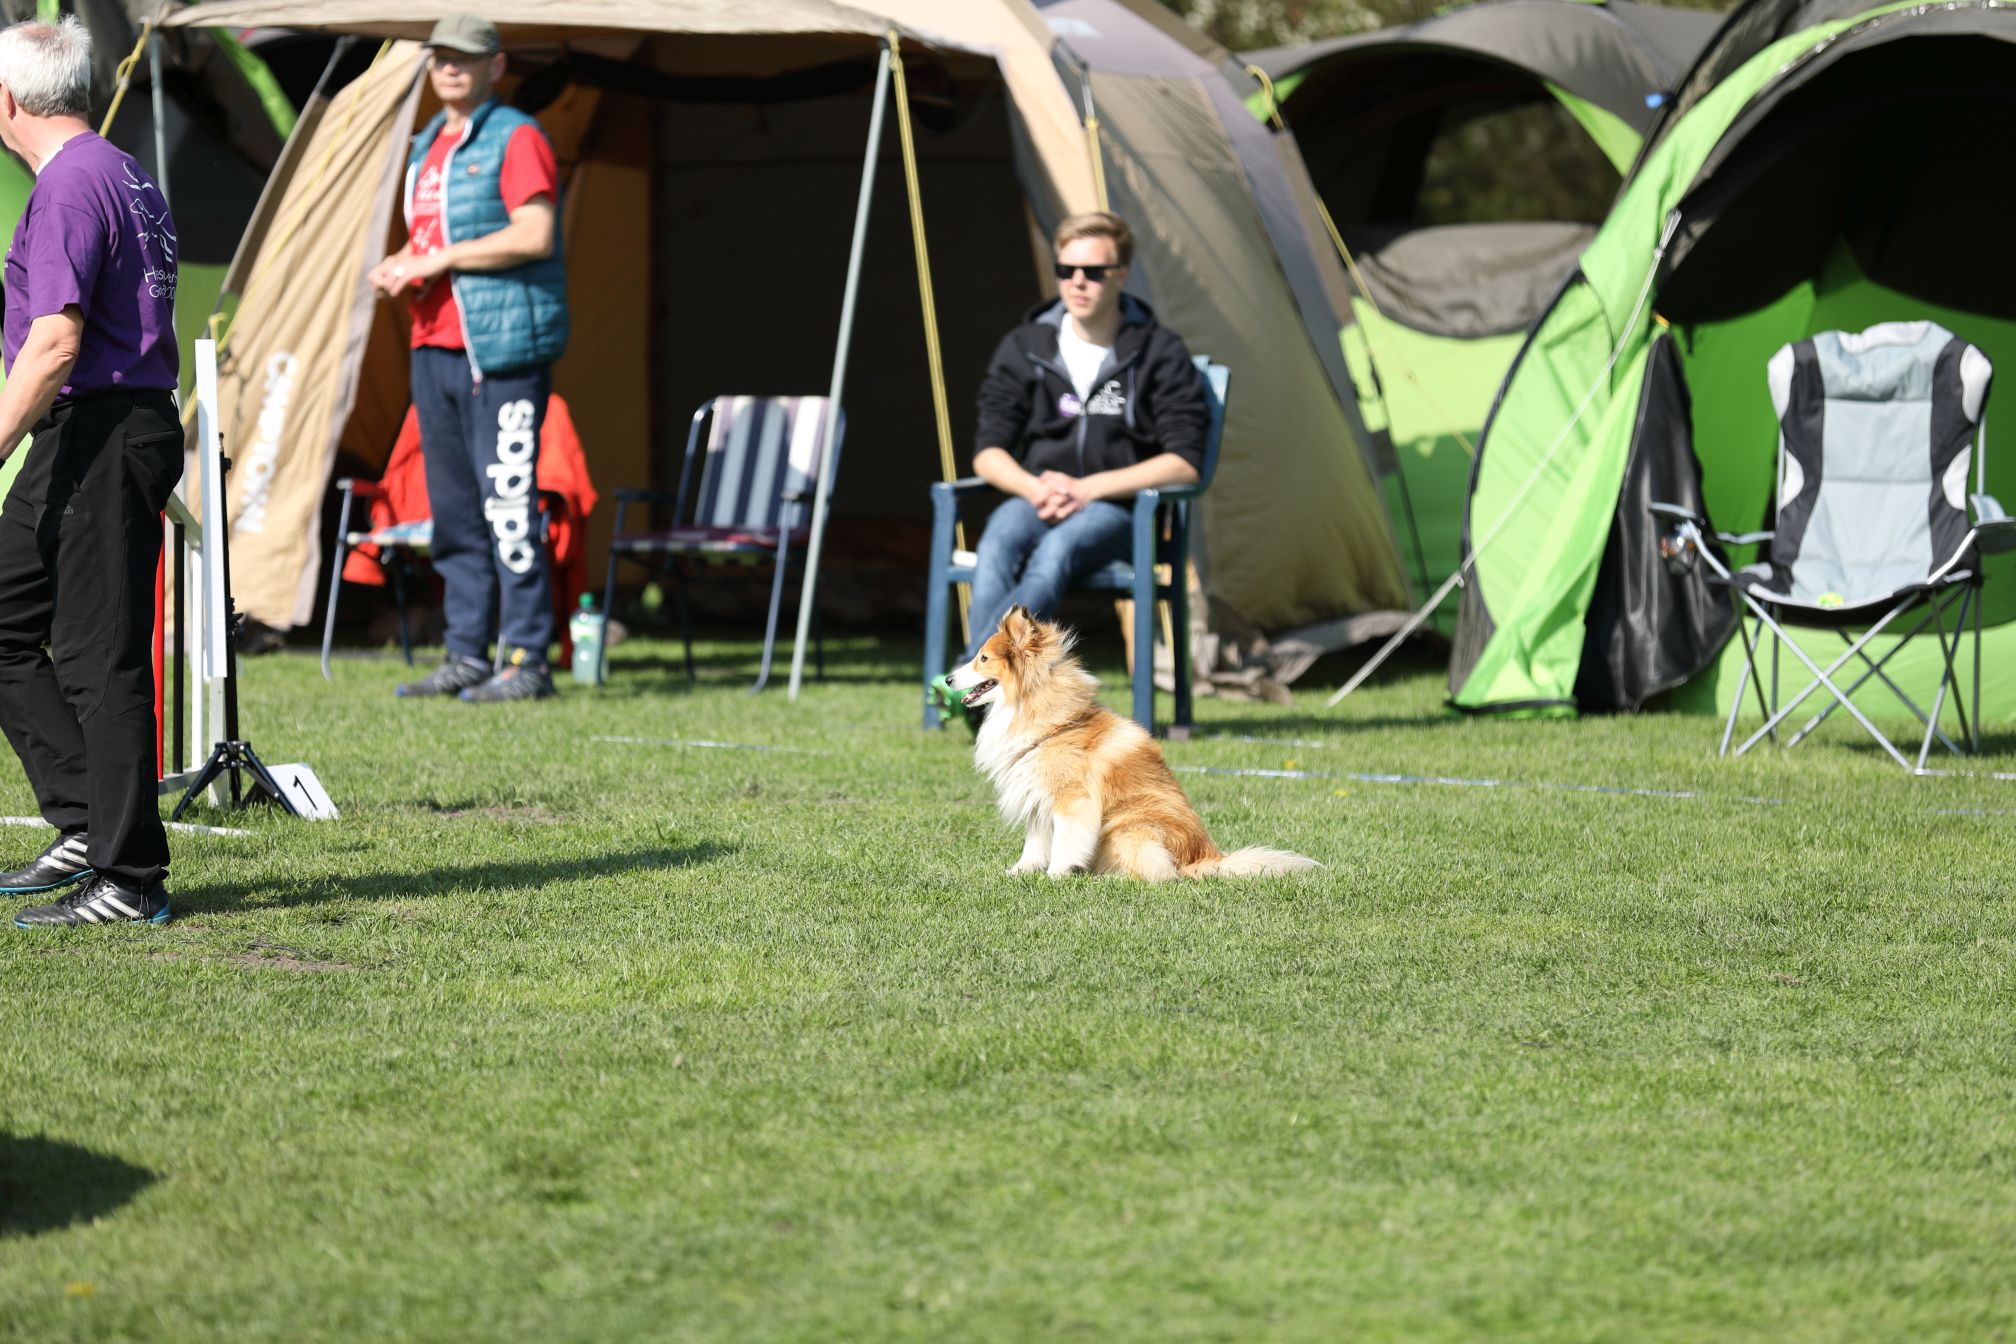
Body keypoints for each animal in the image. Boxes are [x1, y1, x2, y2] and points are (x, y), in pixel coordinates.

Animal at [946, 606, 1319, 881]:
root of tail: (1208, 858)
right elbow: (1034, 843)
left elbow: (1065, 842)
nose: (947, 679)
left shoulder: (1071, 800)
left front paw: (1056, 875)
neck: (1048, 717)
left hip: (1126, 827)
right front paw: (1019, 873)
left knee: (1161, 873)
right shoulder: (1037, 797)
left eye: (983, 659)